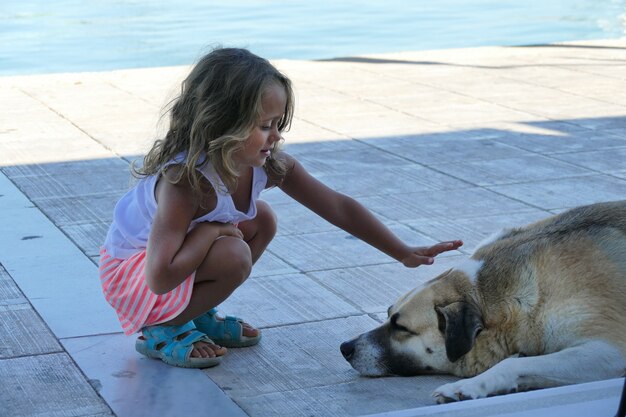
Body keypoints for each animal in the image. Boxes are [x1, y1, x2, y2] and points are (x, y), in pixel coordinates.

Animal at [342, 200, 624, 402]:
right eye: (388, 314)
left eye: (401, 328)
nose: (345, 348)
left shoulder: (609, 352)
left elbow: (509, 365)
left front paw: (467, 386)